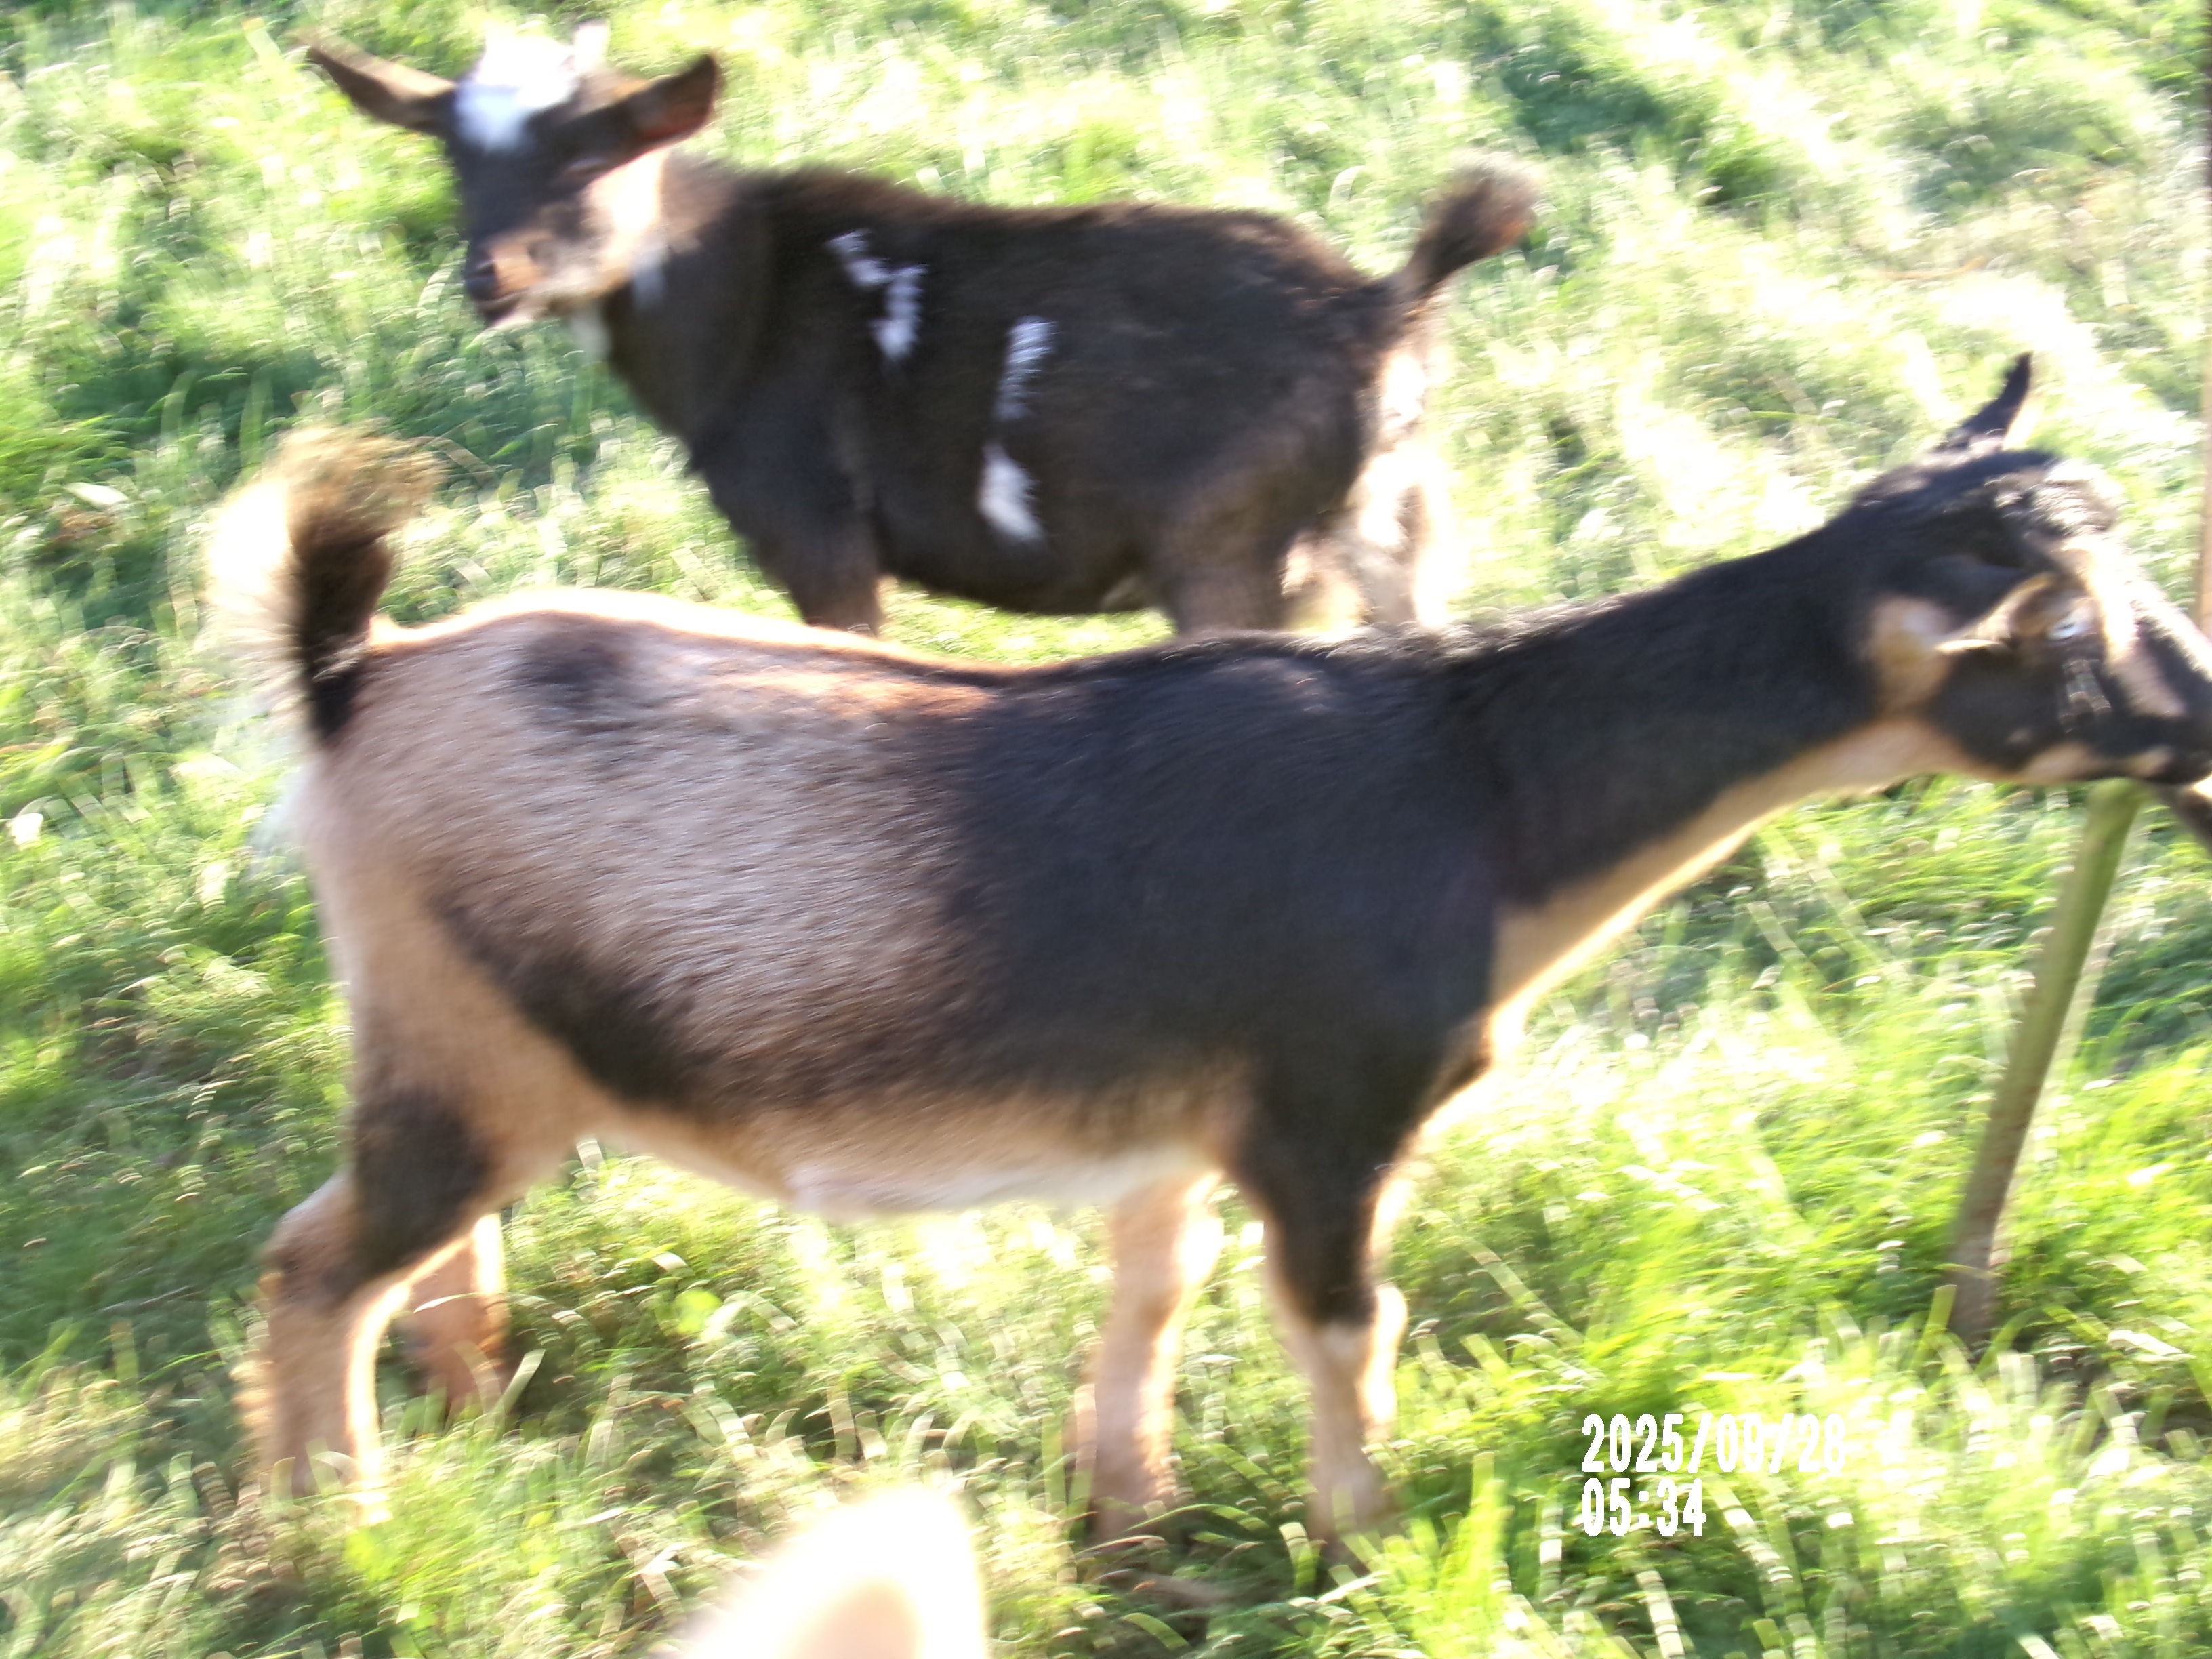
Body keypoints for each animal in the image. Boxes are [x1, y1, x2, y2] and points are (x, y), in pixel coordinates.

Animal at [219, 359, 2212, 1542]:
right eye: (2067, 632)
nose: (2198, 726)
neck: (1488, 796)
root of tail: (352, 677)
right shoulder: (1332, 1119)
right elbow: (1348, 1323)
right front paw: (1364, 1527)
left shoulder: (1177, 1126)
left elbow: (1154, 1293)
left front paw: (1133, 1500)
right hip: (450, 1057)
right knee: (315, 1270)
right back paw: (343, 1525)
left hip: (486, 1044)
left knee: (421, 1248)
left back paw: (474, 1384)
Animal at [303, 28, 1534, 635]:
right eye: (455, 157)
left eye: (593, 153)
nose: (491, 277)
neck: (741, 304)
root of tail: (1384, 305)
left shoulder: (814, 531)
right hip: (1400, 533)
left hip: (1227, 552)